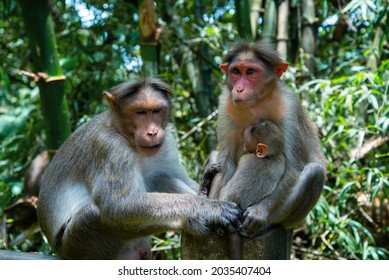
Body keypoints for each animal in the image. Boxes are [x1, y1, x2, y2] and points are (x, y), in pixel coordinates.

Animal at [37, 77, 242, 260]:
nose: (152, 132)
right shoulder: (109, 147)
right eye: (140, 112)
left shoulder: (165, 143)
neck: (127, 137)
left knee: (160, 177)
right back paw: (192, 221)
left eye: (156, 111)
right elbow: (117, 205)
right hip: (79, 245)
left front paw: (205, 184)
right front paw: (208, 207)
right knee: (95, 215)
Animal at [181, 41, 324, 260]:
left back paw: (264, 224)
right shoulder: (225, 104)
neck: (257, 102)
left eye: (250, 72)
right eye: (236, 72)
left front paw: (259, 213)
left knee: (314, 172)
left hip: (288, 218)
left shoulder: (289, 105)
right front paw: (218, 214)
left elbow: (294, 167)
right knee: (216, 157)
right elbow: (226, 161)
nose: (239, 89)